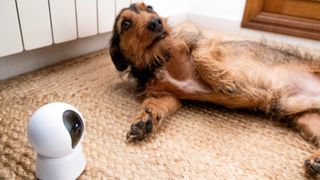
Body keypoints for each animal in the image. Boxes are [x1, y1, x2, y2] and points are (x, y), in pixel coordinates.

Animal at [109, 2, 320, 176]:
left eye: (150, 8)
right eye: (126, 24)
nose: (156, 22)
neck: (160, 59)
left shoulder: (203, 43)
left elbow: (199, 55)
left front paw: (225, 81)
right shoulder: (166, 95)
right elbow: (155, 104)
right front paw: (144, 120)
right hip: (308, 119)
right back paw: (317, 162)